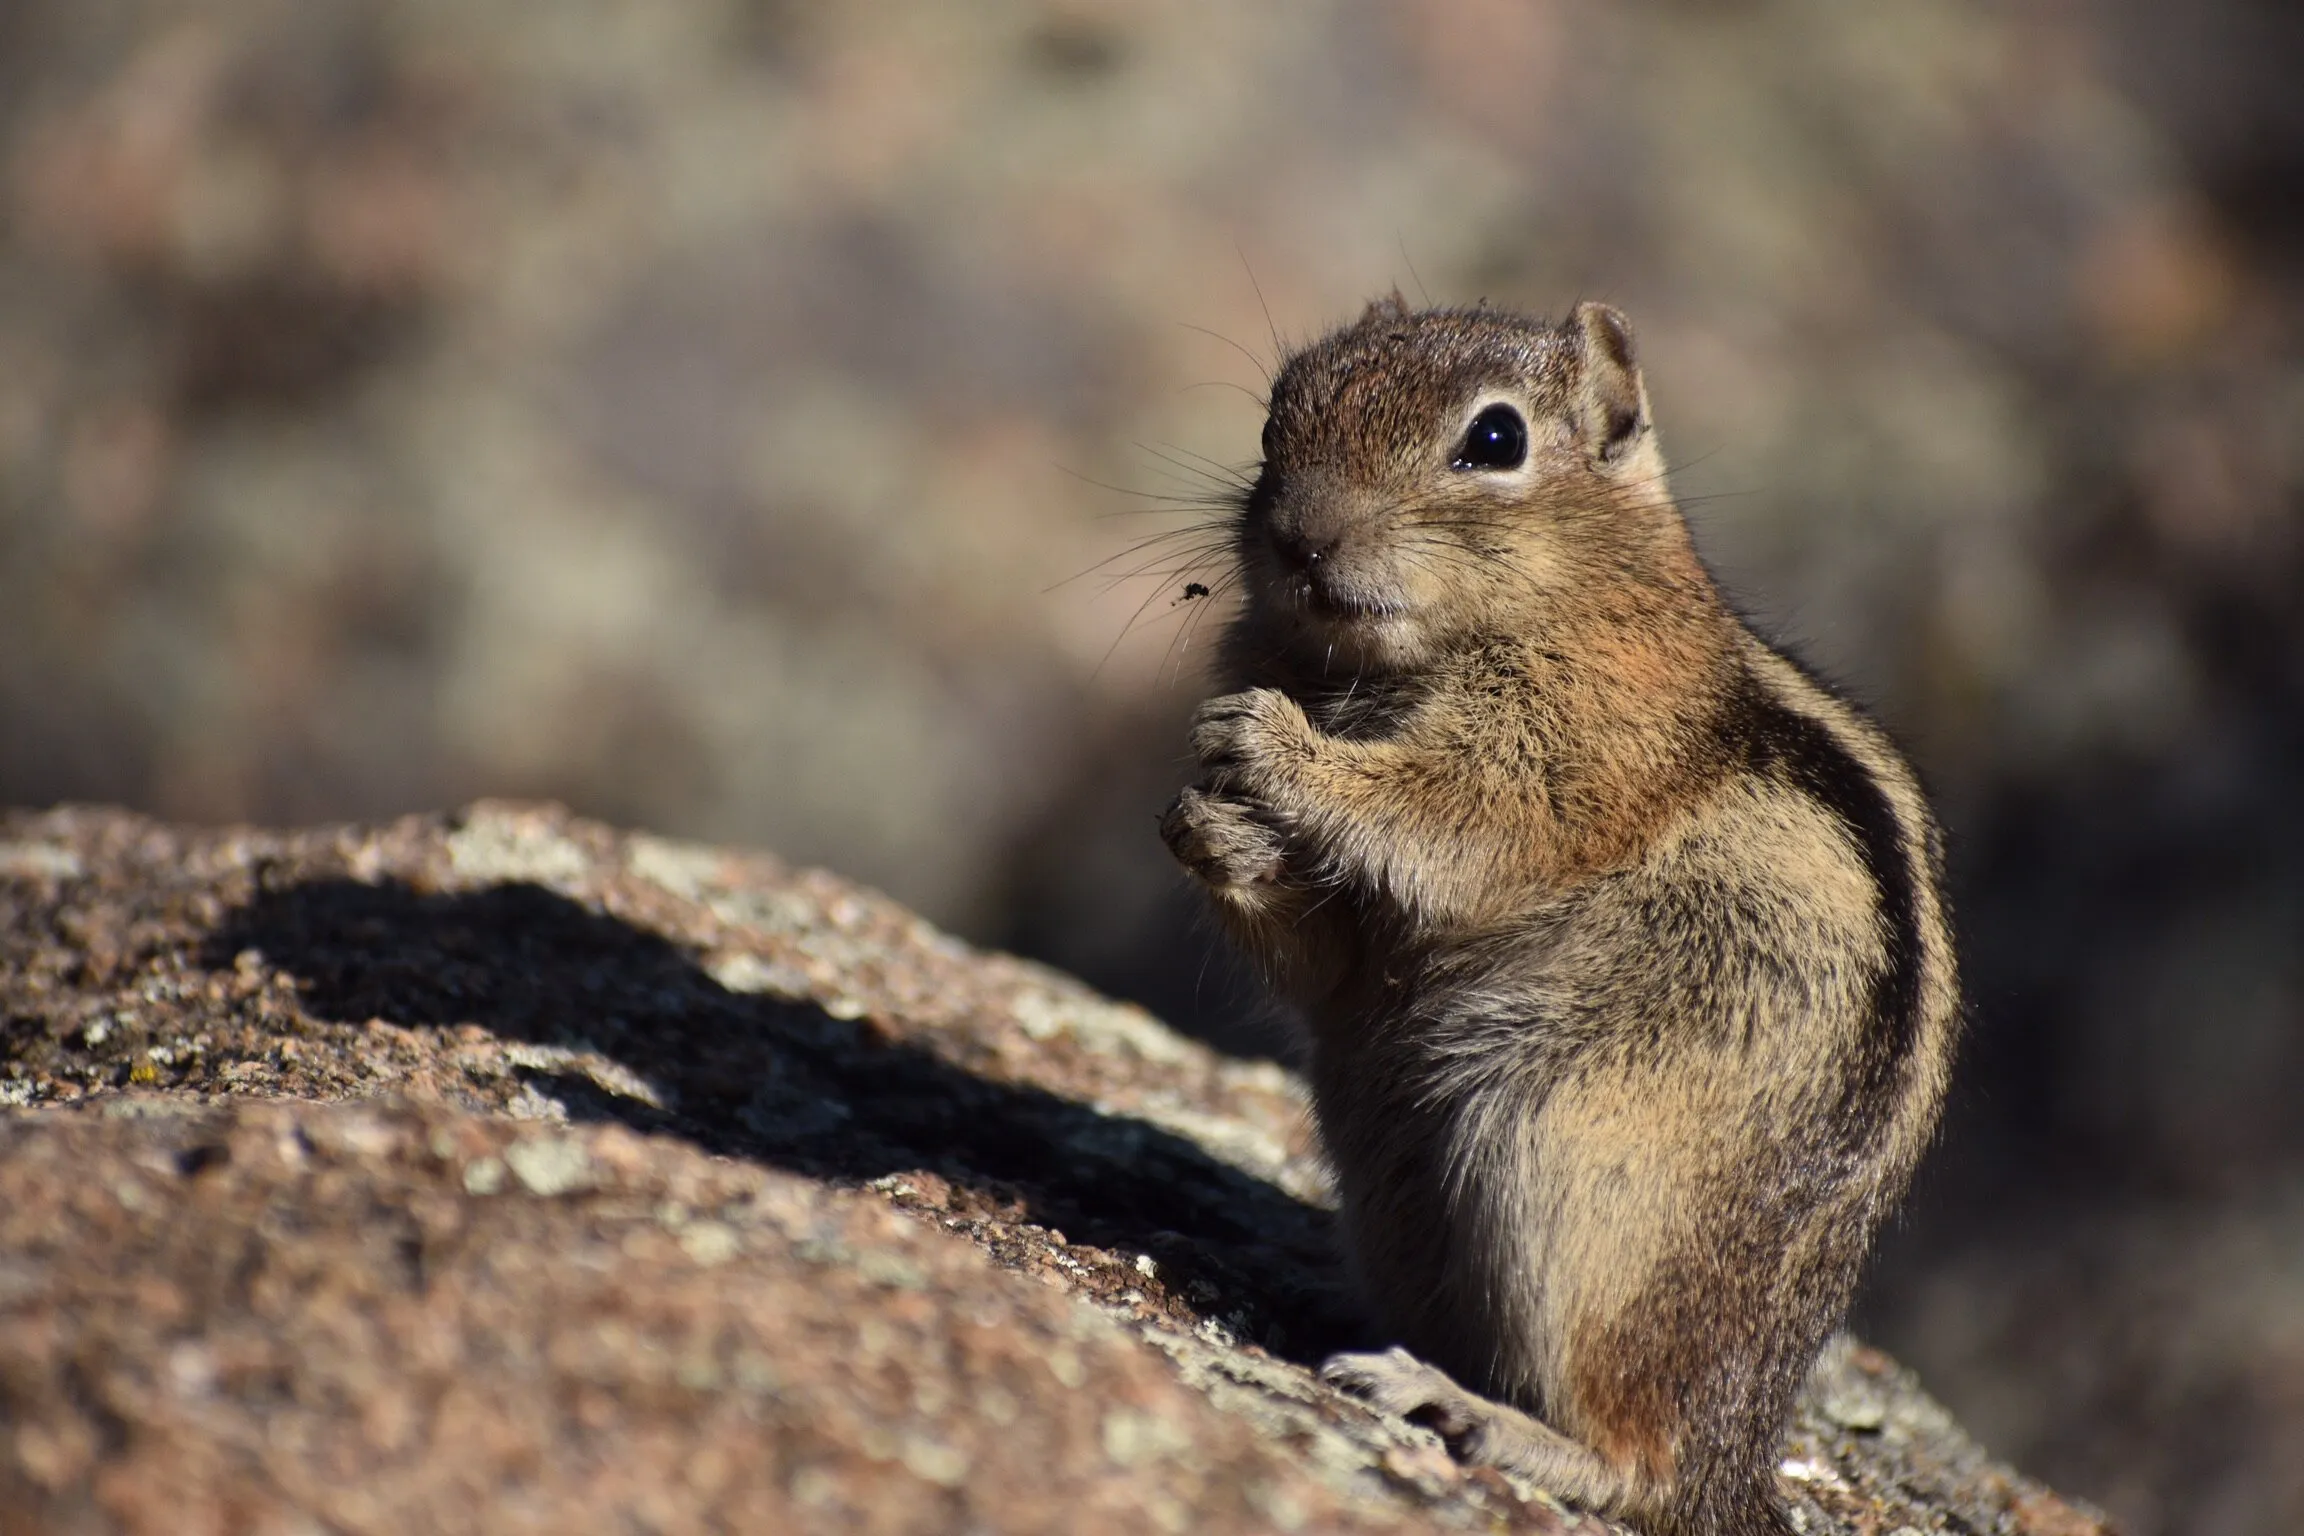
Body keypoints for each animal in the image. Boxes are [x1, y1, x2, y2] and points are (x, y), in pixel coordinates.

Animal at [1159, 296, 1960, 1536]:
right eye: (1275, 413)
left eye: (1495, 440)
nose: (1298, 539)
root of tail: (1743, 1456)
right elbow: (1331, 962)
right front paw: (1212, 825)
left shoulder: (1571, 755)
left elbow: (1457, 811)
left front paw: (1273, 745)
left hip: (1570, 1183)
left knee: (1637, 1464)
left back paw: (1461, 1409)